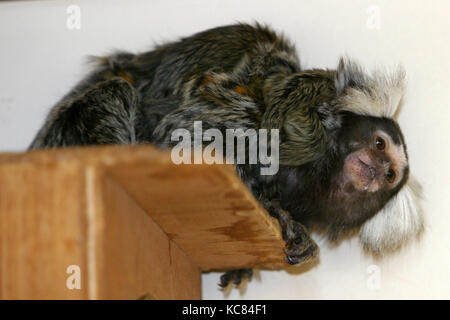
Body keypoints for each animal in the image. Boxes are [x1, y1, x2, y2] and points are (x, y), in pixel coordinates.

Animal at [29, 23, 424, 288]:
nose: (379, 169)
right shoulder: (260, 112)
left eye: (391, 176)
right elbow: (186, 131)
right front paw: (271, 208)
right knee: (116, 92)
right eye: (379, 144)